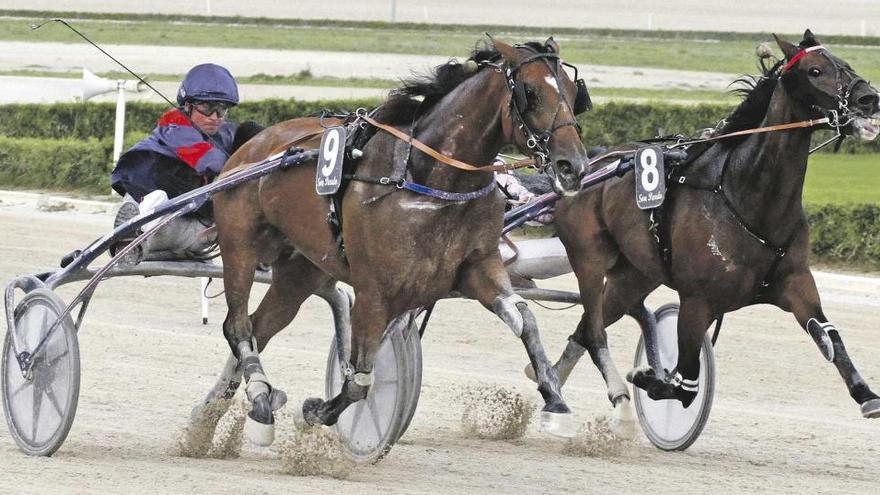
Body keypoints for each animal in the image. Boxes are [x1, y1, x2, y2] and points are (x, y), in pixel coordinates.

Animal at [196, 36, 588, 448]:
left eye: (573, 92)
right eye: (531, 92)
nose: (573, 166)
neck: (428, 180)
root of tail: (254, 144)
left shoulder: (479, 268)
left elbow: (525, 320)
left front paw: (555, 402)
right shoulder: (374, 289)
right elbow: (360, 379)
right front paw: (317, 412)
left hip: (301, 268)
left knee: (259, 328)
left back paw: (208, 418)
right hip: (240, 246)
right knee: (238, 327)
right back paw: (259, 402)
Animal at [532, 30, 880, 426]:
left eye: (846, 64)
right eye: (815, 70)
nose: (869, 98)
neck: (746, 197)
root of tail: (587, 166)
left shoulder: (796, 282)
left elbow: (829, 337)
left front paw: (866, 394)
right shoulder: (698, 299)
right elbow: (685, 383)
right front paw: (649, 377)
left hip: (634, 276)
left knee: (586, 330)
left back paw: (553, 392)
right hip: (589, 260)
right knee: (593, 330)